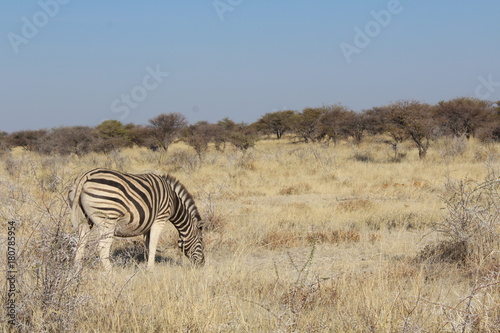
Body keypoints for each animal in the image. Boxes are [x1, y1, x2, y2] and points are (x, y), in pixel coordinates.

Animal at [68, 167, 205, 268]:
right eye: (201, 240)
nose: (203, 263)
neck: (174, 203)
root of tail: (85, 176)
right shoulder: (160, 218)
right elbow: (153, 244)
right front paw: (151, 269)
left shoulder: (148, 225)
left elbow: (148, 245)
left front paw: (146, 265)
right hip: (108, 220)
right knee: (102, 248)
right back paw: (111, 274)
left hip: (85, 221)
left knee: (80, 245)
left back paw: (77, 272)